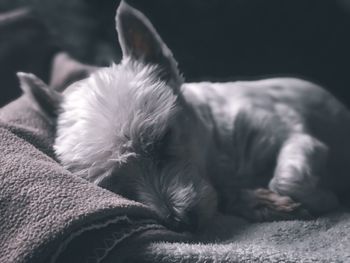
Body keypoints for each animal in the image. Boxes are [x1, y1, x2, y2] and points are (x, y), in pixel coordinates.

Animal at [17, 1, 350, 233]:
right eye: (113, 182)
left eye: (162, 141)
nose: (179, 223)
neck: (218, 153)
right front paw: (262, 202)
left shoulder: (294, 134)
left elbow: (286, 179)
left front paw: (323, 198)